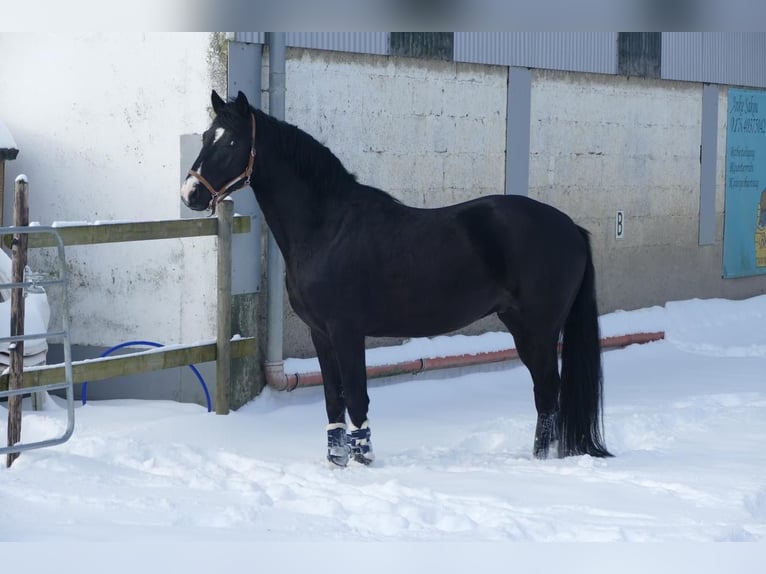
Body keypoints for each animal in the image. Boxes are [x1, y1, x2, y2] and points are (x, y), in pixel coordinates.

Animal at [182, 91, 612, 468]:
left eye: (232, 140)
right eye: (204, 136)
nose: (191, 194)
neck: (327, 228)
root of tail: (571, 227)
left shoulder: (347, 331)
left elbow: (357, 397)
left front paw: (363, 462)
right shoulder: (321, 334)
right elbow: (334, 400)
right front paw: (337, 463)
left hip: (538, 330)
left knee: (547, 394)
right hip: (522, 327)